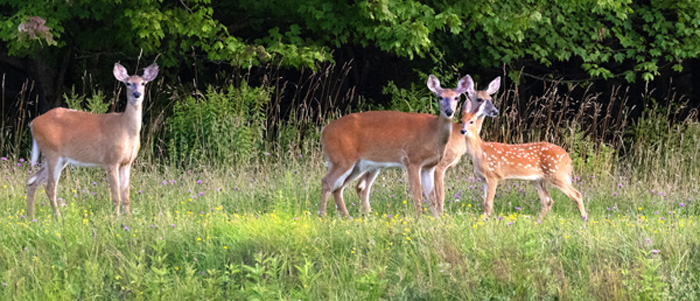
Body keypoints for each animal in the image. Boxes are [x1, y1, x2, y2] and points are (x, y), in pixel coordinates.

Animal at [26, 62, 159, 218]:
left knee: (32, 181)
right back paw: (58, 217)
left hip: (57, 158)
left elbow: (126, 196)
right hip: (53, 153)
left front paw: (128, 219)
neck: (125, 129)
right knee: (49, 187)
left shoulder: (127, 163)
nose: (136, 94)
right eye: (128, 83)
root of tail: (33, 123)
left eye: (143, 83)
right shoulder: (111, 160)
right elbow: (116, 196)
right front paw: (116, 218)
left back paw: (30, 216)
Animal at [320, 74, 474, 217]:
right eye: (440, 97)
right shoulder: (412, 160)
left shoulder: (429, 166)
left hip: (357, 165)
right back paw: (323, 215)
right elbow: (418, 194)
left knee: (339, 188)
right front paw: (420, 219)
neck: (434, 133)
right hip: (342, 158)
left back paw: (348, 216)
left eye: (456, 98)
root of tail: (324, 131)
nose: (449, 112)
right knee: (327, 182)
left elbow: (432, 197)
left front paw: (436, 219)